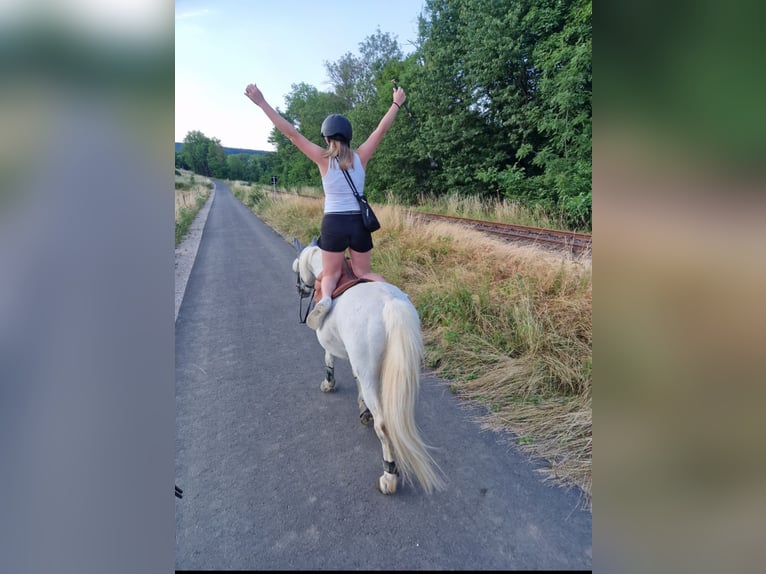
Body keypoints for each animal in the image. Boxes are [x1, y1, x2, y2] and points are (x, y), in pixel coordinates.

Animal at [296, 238, 450, 496]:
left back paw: (389, 476)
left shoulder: (333, 347)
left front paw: (329, 384)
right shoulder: (359, 364)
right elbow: (357, 382)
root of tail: (390, 304)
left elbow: (329, 360)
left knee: (384, 425)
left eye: (296, 267)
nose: (302, 290)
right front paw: (363, 409)